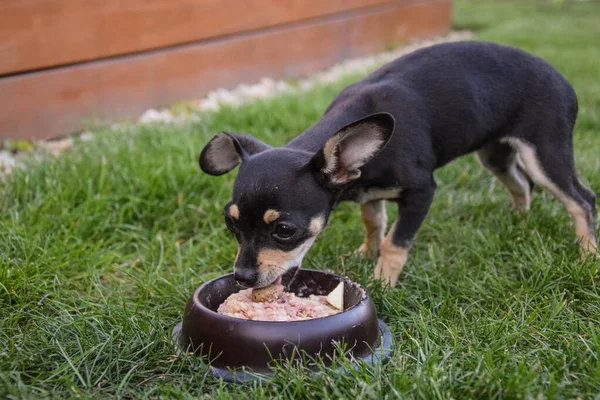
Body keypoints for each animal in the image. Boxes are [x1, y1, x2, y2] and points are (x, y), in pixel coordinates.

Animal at [198, 40, 596, 290]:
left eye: (284, 230)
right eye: (230, 223)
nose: (242, 277)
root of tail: (563, 80)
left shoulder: (422, 192)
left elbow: (394, 242)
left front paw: (382, 281)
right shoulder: (369, 194)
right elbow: (373, 224)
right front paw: (364, 254)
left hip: (544, 154)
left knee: (581, 199)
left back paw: (587, 256)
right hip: (495, 154)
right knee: (520, 184)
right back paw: (519, 223)